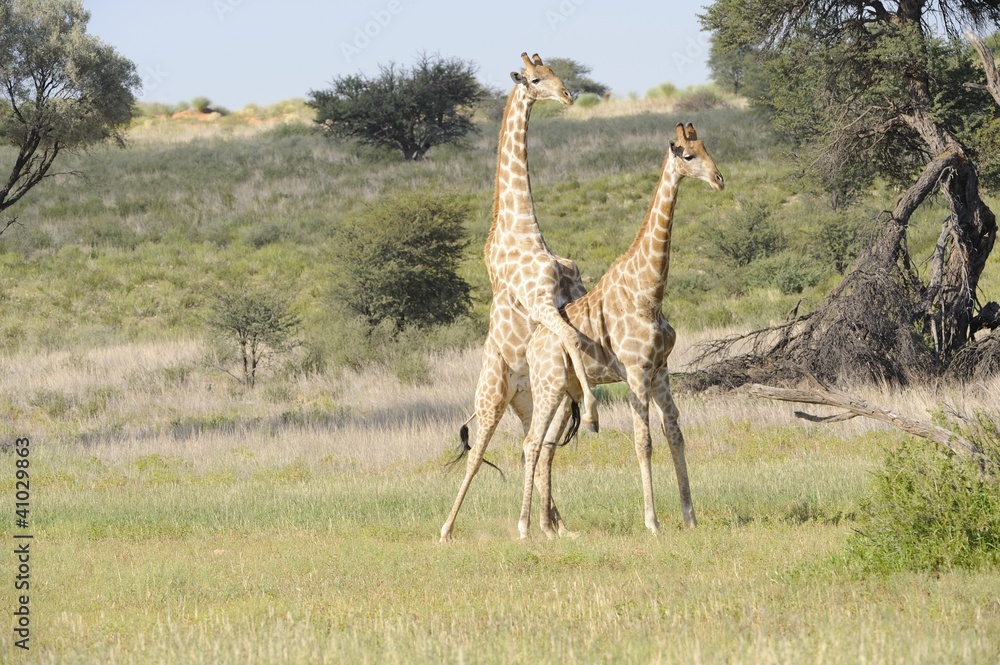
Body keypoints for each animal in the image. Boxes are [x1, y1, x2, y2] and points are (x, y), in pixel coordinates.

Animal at [439, 53, 597, 542]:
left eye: (556, 72)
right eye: (534, 79)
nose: (568, 94)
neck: (525, 229)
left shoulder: (570, 296)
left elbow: (579, 341)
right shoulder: (542, 302)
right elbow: (573, 340)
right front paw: (592, 410)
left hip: (526, 402)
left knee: (537, 443)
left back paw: (555, 524)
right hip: (491, 397)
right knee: (477, 454)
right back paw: (447, 528)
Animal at [517, 123, 725, 539]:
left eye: (707, 148)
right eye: (688, 155)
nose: (719, 179)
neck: (649, 292)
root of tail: (533, 344)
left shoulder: (660, 370)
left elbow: (675, 436)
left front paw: (690, 518)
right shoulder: (635, 371)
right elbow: (643, 442)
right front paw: (653, 523)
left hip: (565, 390)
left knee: (545, 446)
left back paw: (549, 530)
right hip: (546, 385)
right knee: (530, 444)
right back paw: (523, 529)